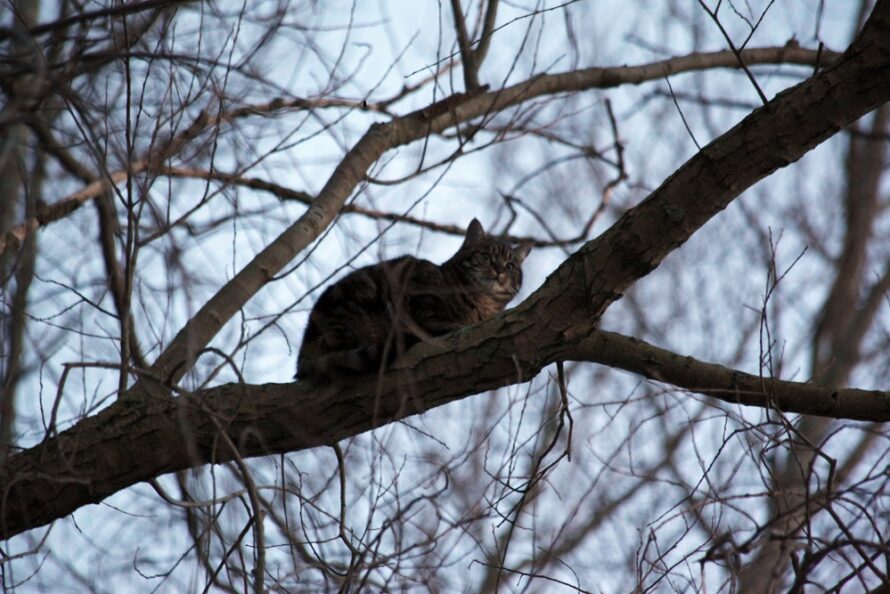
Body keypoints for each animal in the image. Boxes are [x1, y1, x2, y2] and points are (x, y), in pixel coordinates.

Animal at [294, 219, 532, 380]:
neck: (482, 304)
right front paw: (452, 326)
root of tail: (303, 352)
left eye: (510, 266)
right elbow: (430, 318)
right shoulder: (419, 292)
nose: (499, 271)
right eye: (486, 257)